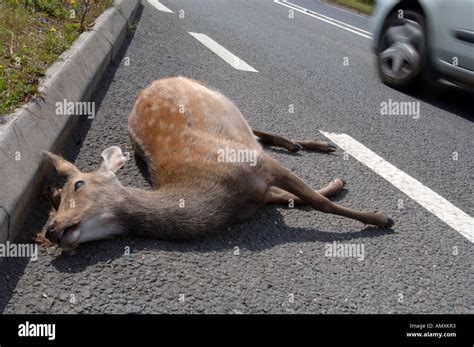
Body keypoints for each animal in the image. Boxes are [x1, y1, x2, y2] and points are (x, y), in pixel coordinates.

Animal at [43, 76, 392, 253]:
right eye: (54, 201)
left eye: (78, 184)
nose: (51, 229)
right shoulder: (262, 192)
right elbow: (300, 199)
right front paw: (338, 186)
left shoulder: (258, 163)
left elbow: (318, 202)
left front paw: (378, 217)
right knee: (257, 133)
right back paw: (302, 145)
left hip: (222, 98)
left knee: (257, 130)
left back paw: (311, 144)